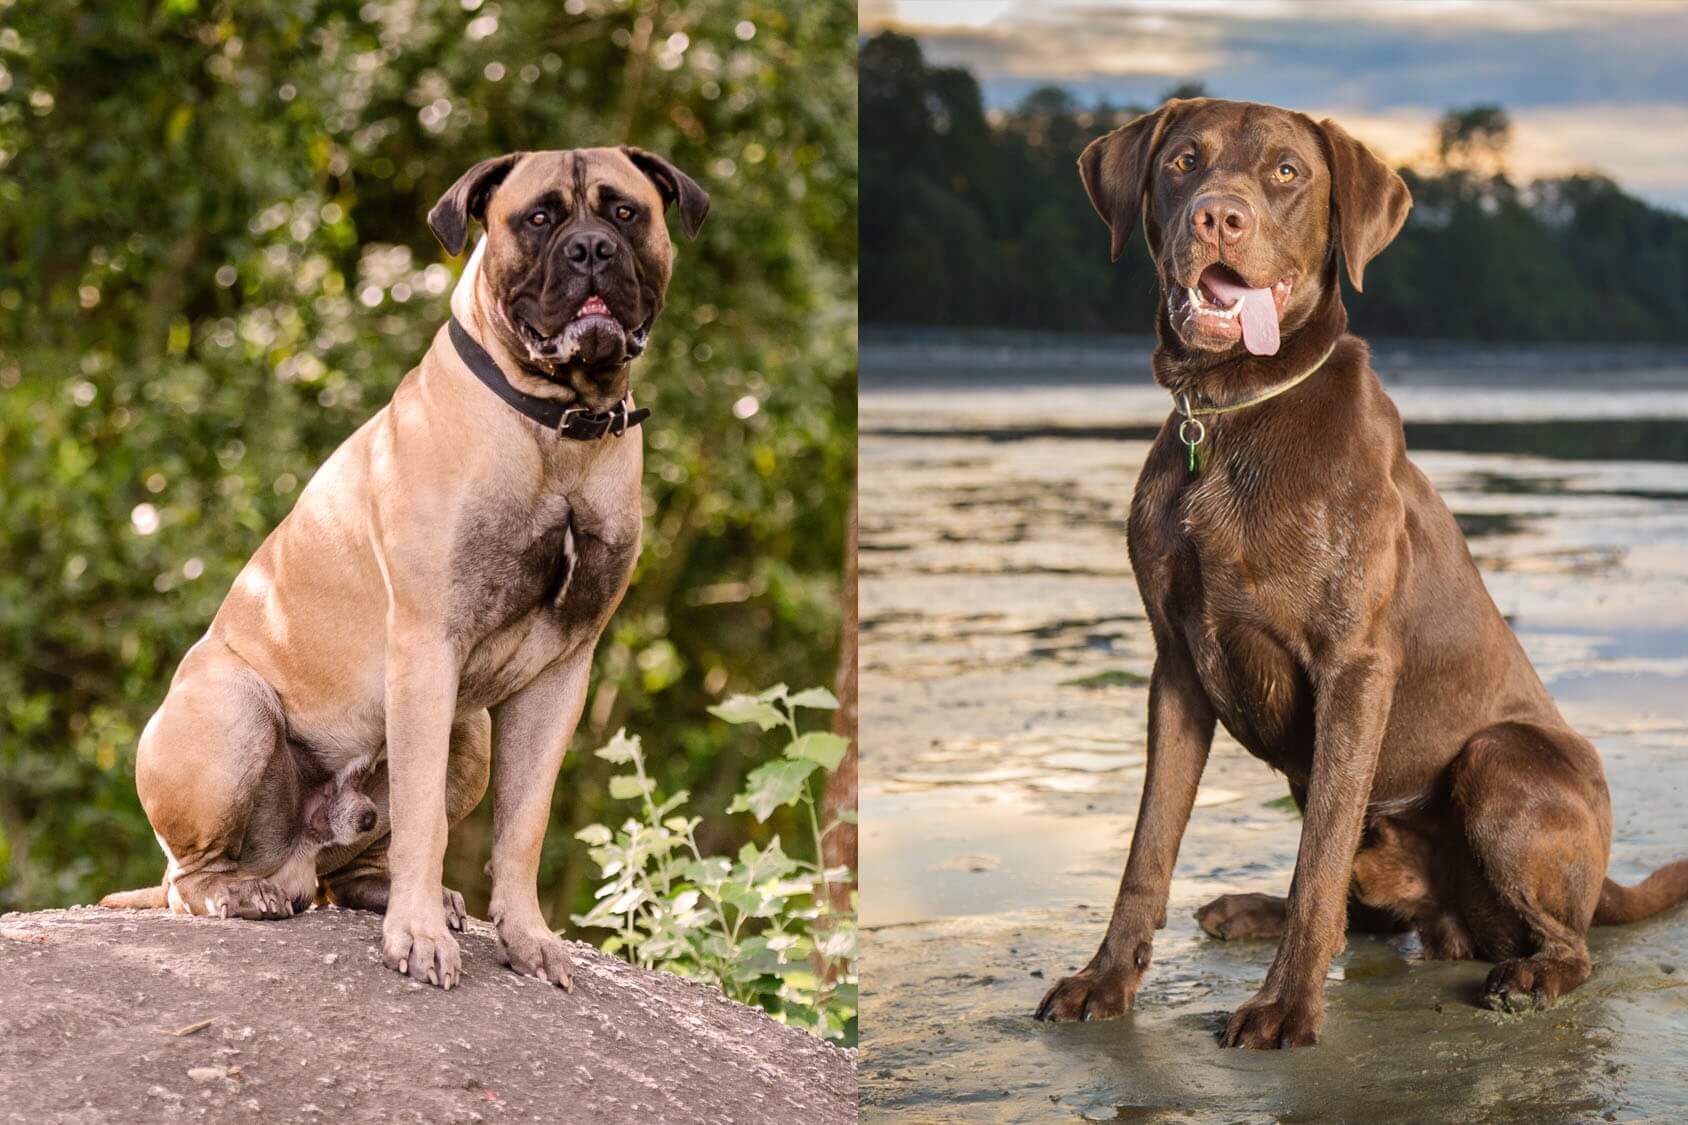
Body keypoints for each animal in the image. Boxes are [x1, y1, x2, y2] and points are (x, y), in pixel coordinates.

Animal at [100, 144, 705, 986]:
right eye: (539, 218)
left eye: (625, 211)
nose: (590, 249)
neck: (557, 424)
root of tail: (296, 859)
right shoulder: (426, 648)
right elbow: (424, 820)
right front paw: (416, 936)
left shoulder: (562, 672)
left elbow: (523, 823)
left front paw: (525, 936)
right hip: (235, 710)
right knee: (184, 878)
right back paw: (240, 892)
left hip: (469, 734)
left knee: (347, 869)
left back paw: (390, 889)